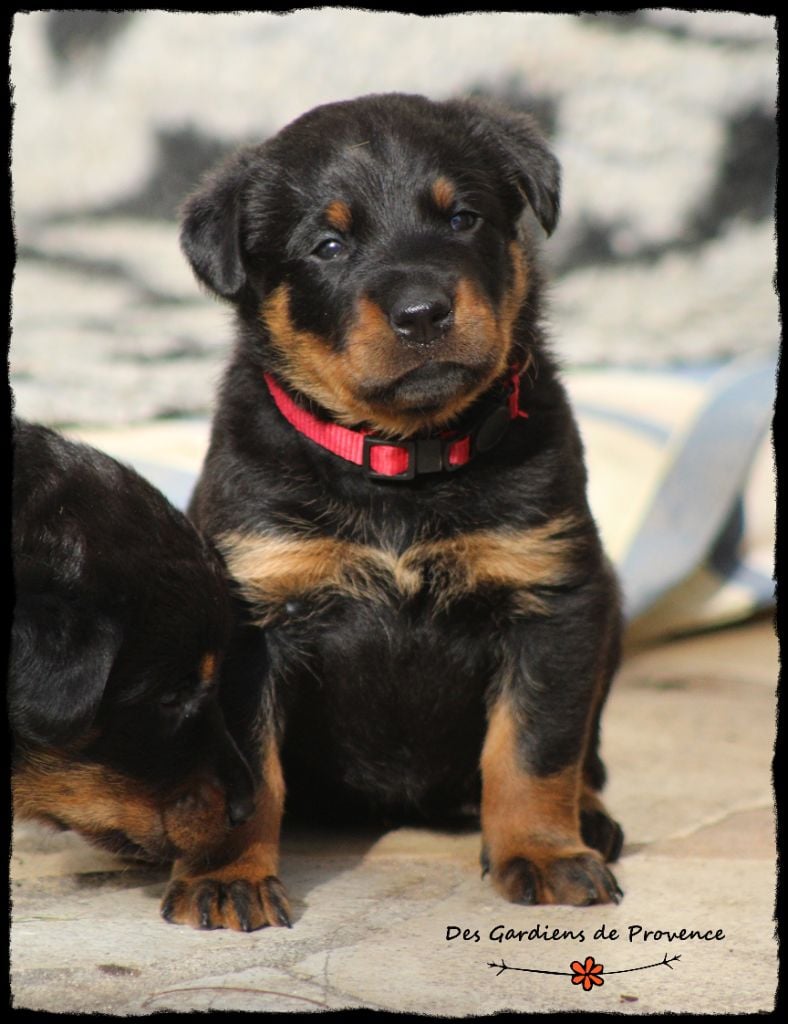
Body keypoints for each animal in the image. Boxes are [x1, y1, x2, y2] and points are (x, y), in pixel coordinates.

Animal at [168, 92, 622, 933]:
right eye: (328, 245)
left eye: (463, 218)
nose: (423, 312)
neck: (402, 465)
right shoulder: (256, 611)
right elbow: (245, 775)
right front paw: (228, 875)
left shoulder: (553, 598)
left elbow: (534, 747)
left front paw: (544, 852)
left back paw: (593, 816)